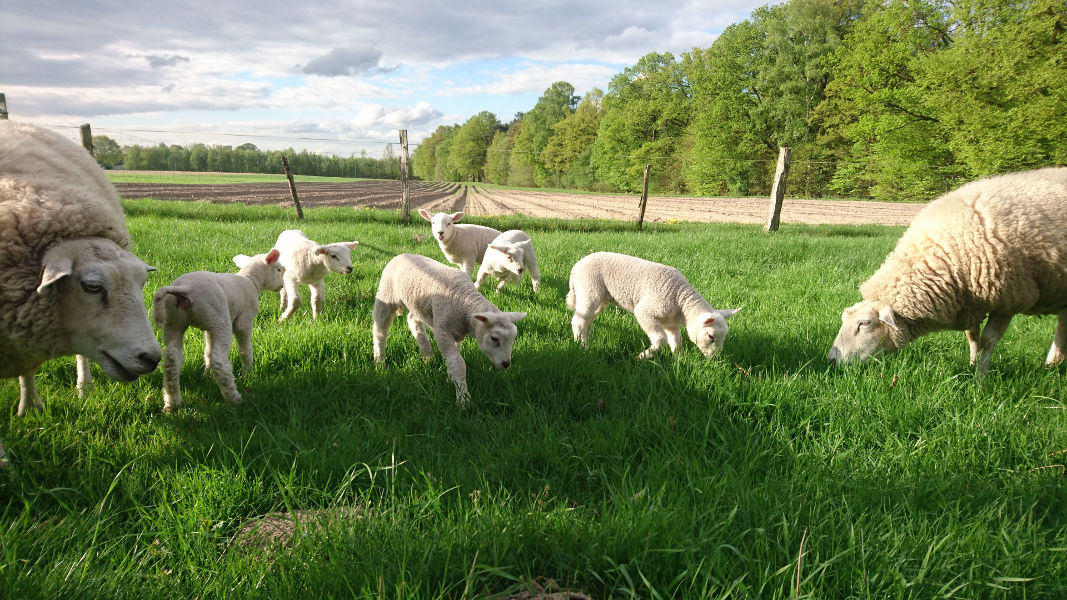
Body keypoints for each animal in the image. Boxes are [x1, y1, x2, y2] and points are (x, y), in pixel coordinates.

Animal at [152, 247, 283, 409]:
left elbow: (207, 351)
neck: (251, 280)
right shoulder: (244, 320)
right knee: (219, 360)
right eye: (279, 269)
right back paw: (234, 399)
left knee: (172, 359)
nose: (282, 286)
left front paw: (206, 376)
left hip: (175, 321)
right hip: (220, 321)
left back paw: (172, 403)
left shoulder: (209, 328)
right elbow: (246, 349)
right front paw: (248, 374)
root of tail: (185, 289)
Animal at [373, 251, 527, 405]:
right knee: (380, 331)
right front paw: (463, 399)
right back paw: (379, 361)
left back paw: (427, 355)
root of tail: (401, 254)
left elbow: (453, 359)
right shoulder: (443, 331)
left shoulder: (456, 333)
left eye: (513, 339)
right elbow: (458, 363)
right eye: (494, 338)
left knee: (412, 320)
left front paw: (451, 379)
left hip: (419, 305)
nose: (506, 364)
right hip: (386, 295)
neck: (465, 301)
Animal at [571, 249, 738, 356]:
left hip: (600, 300)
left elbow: (676, 342)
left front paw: (679, 360)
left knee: (587, 320)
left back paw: (584, 340)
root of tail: (576, 267)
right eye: (711, 336)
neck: (681, 300)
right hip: (588, 290)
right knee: (578, 320)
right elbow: (660, 339)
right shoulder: (645, 313)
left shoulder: (671, 323)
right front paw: (642, 357)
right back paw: (582, 346)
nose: (715, 357)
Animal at [823, 165, 1067, 371]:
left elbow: (988, 341)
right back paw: (1052, 367)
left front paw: (980, 376)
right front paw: (971, 366)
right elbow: (972, 336)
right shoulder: (971, 300)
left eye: (864, 323)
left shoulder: (1010, 297)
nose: (832, 360)